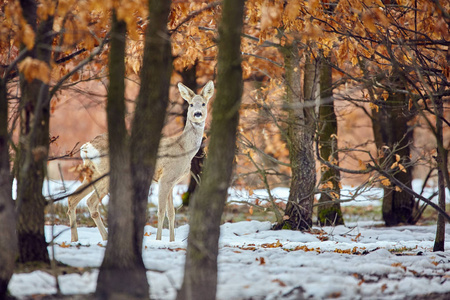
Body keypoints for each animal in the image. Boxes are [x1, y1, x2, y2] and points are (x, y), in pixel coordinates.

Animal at [67, 81, 214, 243]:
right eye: (191, 104)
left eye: (204, 103)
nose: (197, 114)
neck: (183, 148)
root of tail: (87, 147)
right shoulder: (166, 178)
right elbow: (161, 212)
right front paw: (158, 240)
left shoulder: (172, 181)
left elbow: (171, 213)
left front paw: (172, 241)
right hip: (107, 173)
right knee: (91, 202)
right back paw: (102, 238)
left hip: (92, 173)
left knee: (73, 199)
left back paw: (76, 239)